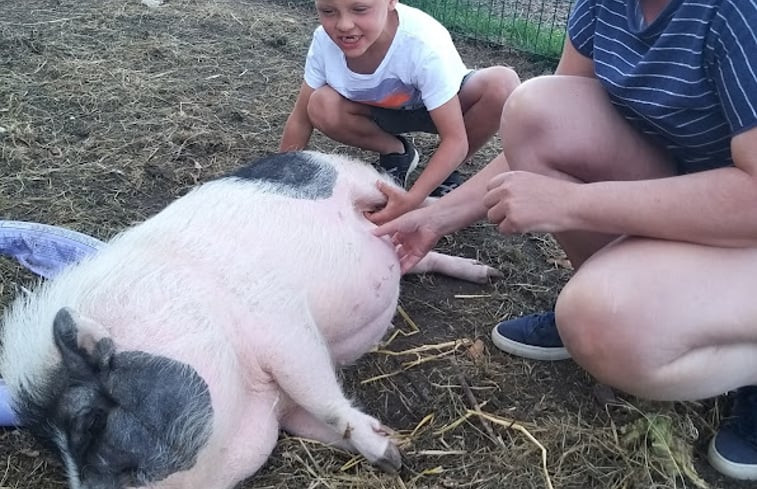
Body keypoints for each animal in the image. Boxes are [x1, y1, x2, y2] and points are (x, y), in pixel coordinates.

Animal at [1, 151, 502, 486]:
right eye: (57, 451)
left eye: (91, 426)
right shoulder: (288, 409)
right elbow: (316, 422)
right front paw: (394, 449)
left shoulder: (282, 323)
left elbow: (322, 394)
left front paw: (388, 454)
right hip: (395, 243)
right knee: (413, 250)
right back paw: (484, 273)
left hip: (365, 183)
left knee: (411, 205)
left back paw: (485, 266)